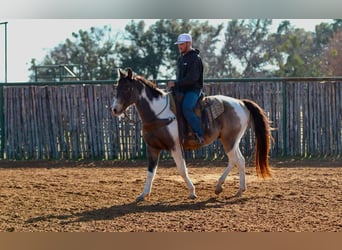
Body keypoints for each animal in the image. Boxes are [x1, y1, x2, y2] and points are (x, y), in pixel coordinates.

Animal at [112, 67, 272, 202]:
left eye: (126, 88)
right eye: (116, 87)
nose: (114, 109)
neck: (158, 113)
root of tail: (241, 103)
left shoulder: (175, 146)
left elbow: (182, 169)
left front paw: (192, 192)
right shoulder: (152, 148)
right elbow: (151, 171)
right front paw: (143, 194)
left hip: (229, 140)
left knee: (236, 160)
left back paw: (229, 188)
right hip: (232, 140)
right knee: (239, 160)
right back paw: (231, 188)